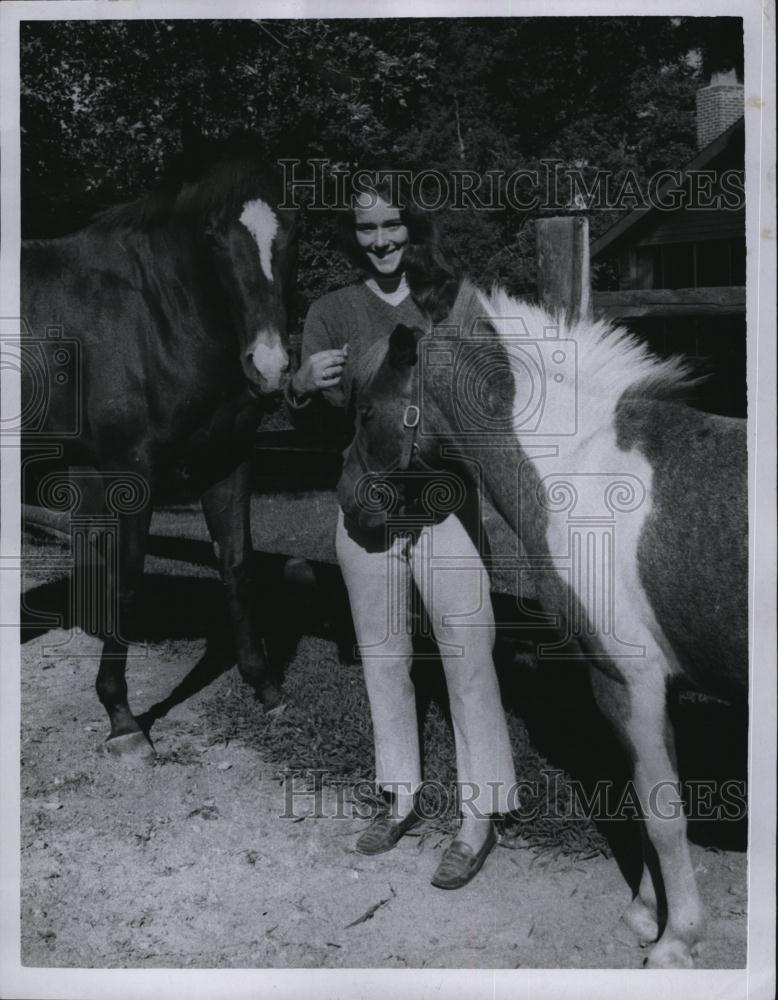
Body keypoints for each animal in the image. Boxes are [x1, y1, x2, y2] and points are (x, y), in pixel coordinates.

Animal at [21, 141, 296, 760]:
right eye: (214, 237)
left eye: (290, 234)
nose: (269, 369)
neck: (155, 319)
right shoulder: (129, 471)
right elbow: (125, 579)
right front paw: (122, 720)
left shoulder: (229, 462)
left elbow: (237, 566)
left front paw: (265, 687)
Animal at [340, 282, 744, 968]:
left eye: (366, 412)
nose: (346, 502)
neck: (587, 477)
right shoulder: (637, 691)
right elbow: (641, 802)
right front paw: (644, 915)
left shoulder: (630, 681)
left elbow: (662, 814)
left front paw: (676, 940)